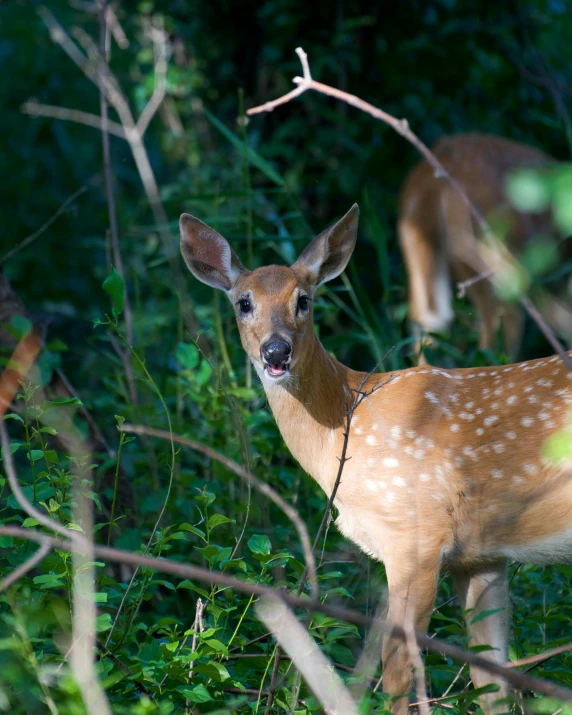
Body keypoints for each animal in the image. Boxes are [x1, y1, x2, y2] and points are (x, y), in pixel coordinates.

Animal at [179, 204, 572, 712]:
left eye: (304, 300)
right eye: (243, 302)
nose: (276, 350)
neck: (346, 420)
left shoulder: (416, 534)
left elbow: (398, 668)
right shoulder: (481, 556)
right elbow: (492, 678)